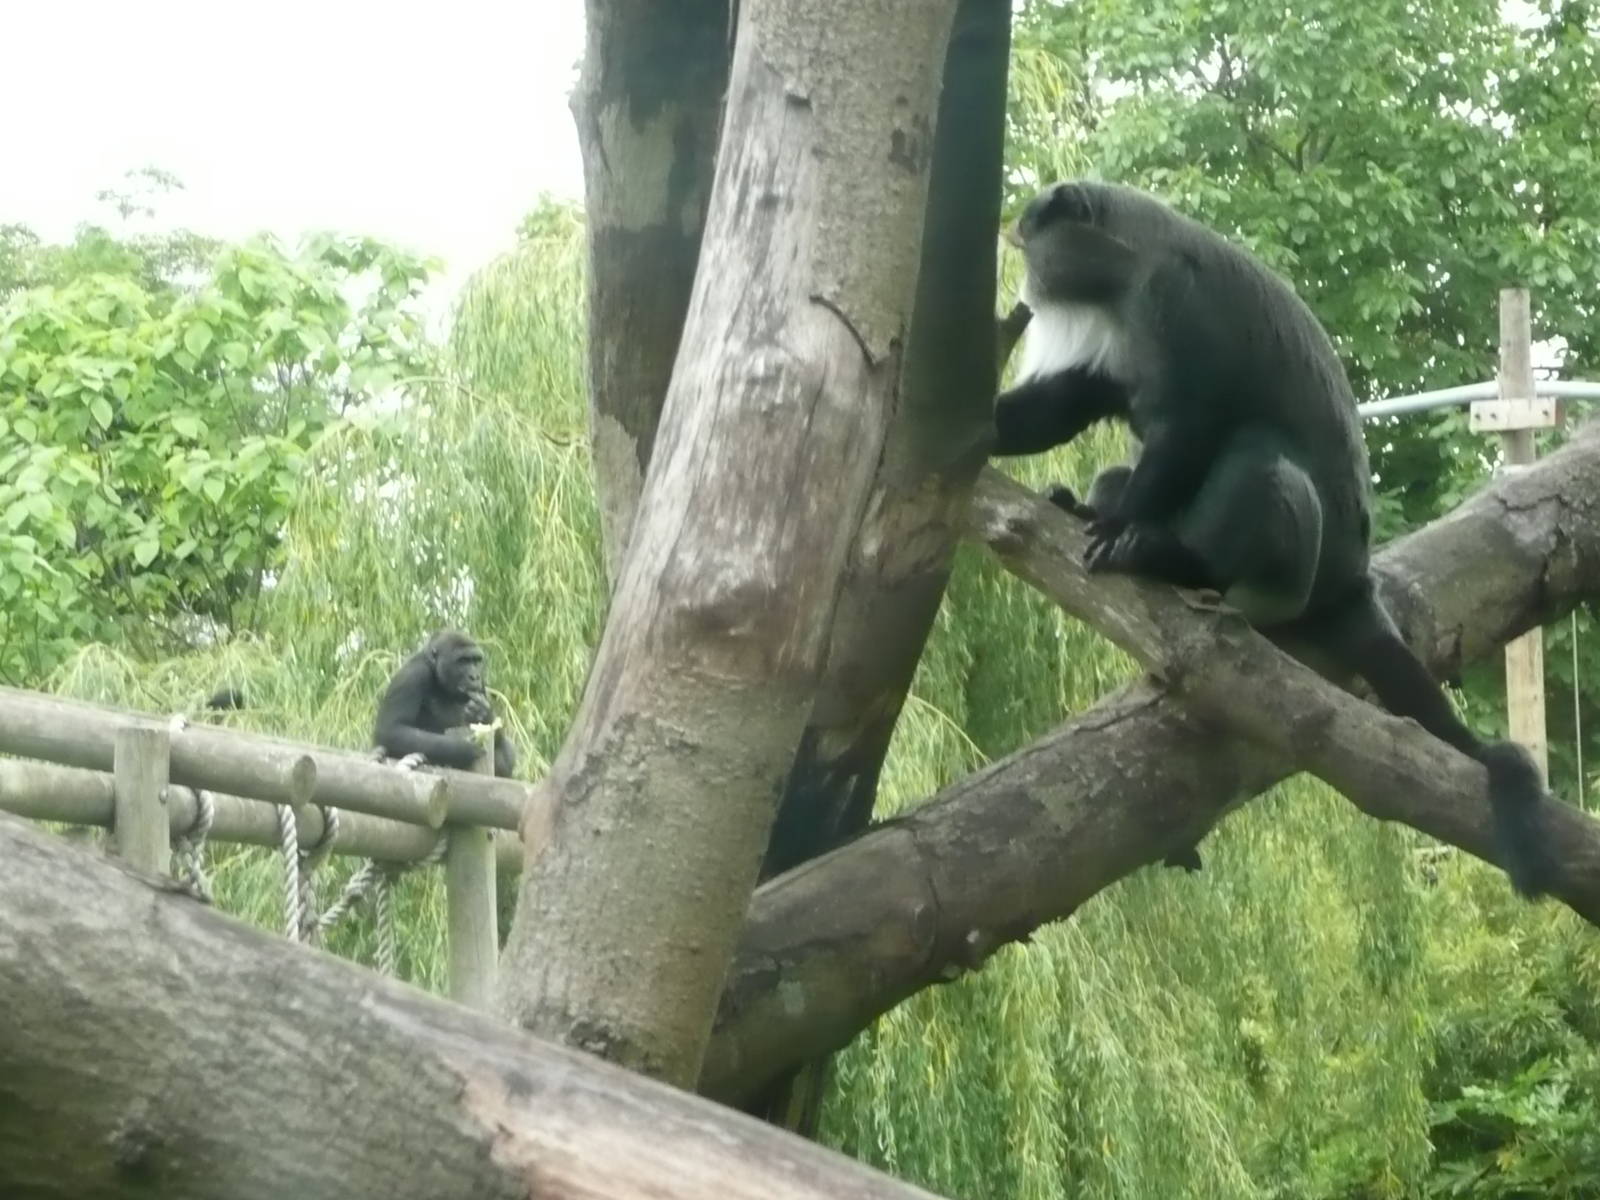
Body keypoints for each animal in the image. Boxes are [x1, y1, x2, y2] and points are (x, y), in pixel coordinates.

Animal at [372, 629, 517, 777]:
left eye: (476, 661)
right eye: (463, 661)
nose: (474, 676)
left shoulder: (481, 684)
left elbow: (497, 738)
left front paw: (484, 713)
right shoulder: (412, 675)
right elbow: (391, 729)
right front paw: (463, 748)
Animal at [991, 179, 1556, 898]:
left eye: (1035, 239)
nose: (1028, 282)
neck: (1126, 267)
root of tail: (1351, 584)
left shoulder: (1175, 302)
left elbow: (1190, 423)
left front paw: (1121, 533)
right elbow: (1064, 405)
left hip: (1294, 573)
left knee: (1257, 454)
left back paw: (1173, 559)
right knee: (1121, 472)